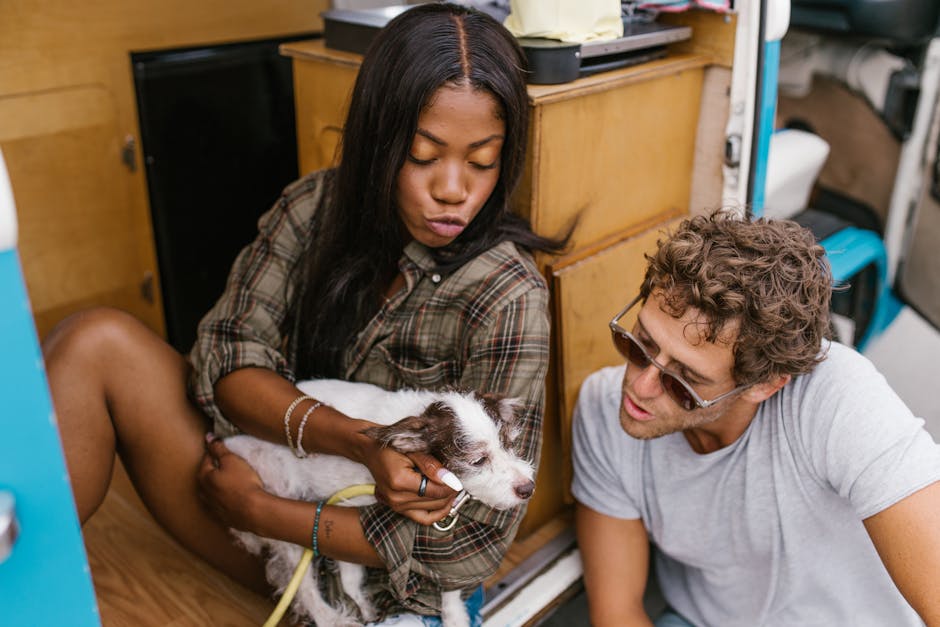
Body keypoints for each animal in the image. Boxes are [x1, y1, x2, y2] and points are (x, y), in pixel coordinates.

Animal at [224, 378, 536, 627]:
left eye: (509, 444)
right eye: (478, 461)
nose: (529, 488)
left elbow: (449, 577)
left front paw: (455, 617)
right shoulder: (343, 505)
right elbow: (348, 576)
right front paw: (360, 606)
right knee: (302, 585)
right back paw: (334, 619)